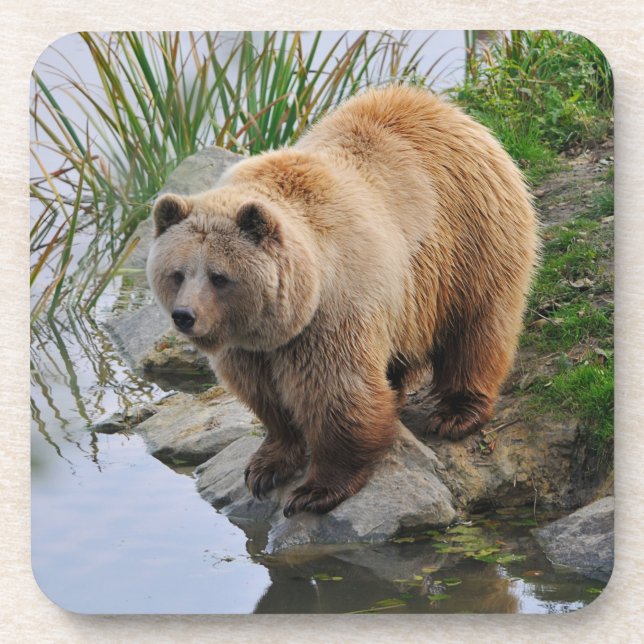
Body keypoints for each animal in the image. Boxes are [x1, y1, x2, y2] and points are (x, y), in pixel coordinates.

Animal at [146, 85, 539, 517]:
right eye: (177, 273)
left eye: (219, 276)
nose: (185, 316)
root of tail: (444, 108)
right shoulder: (249, 346)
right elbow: (265, 397)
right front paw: (266, 466)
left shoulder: (331, 313)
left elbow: (337, 394)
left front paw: (316, 489)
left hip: (469, 239)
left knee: (476, 327)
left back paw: (456, 413)